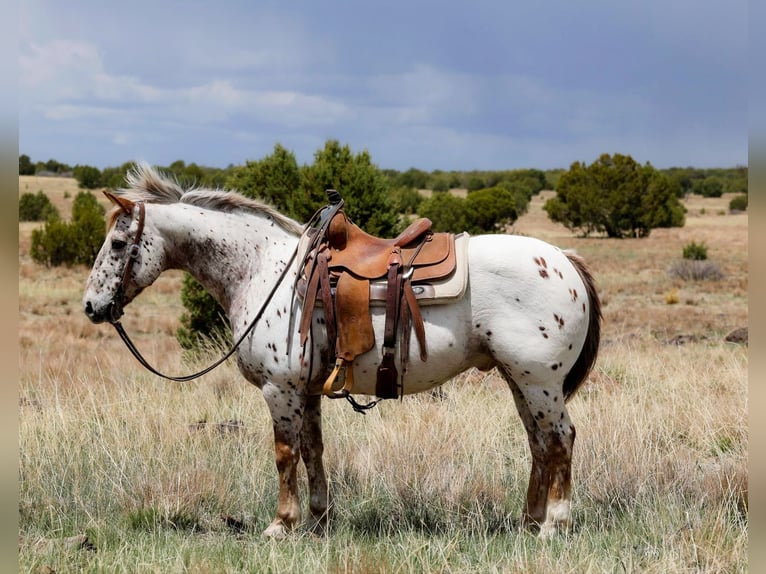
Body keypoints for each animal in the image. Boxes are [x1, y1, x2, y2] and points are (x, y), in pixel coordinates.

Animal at [82, 164, 601, 539]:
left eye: (119, 243)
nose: (92, 306)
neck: (262, 270)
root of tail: (565, 260)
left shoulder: (279, 389)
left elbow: (285, 453)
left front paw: (281, 524)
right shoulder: (305, 391)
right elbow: (313, 450)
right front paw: (318, 519)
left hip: (539, 381)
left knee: (561, 439)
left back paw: (555, 525)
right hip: (520, 380)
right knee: (539, 442)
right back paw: (529, 520)